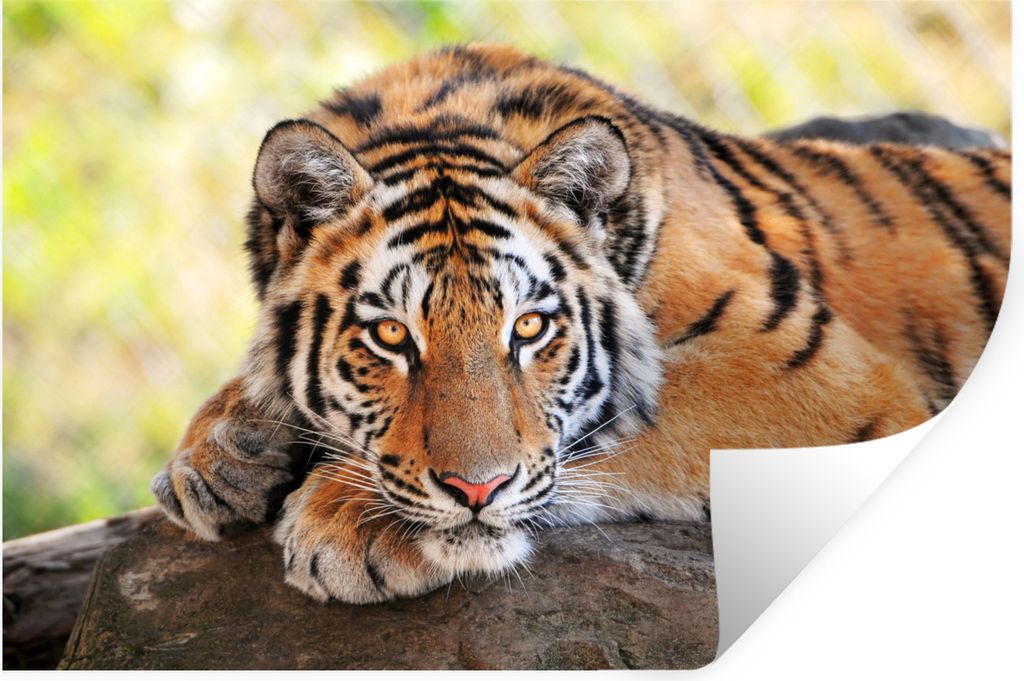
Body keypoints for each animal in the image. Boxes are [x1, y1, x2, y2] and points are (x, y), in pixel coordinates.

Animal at [151, 44, 1011, 604]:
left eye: (529, 328)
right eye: (391, 336)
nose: (475, 489)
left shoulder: (822, 377)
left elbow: (609, 425)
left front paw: (348, 518)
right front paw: (221, 453)